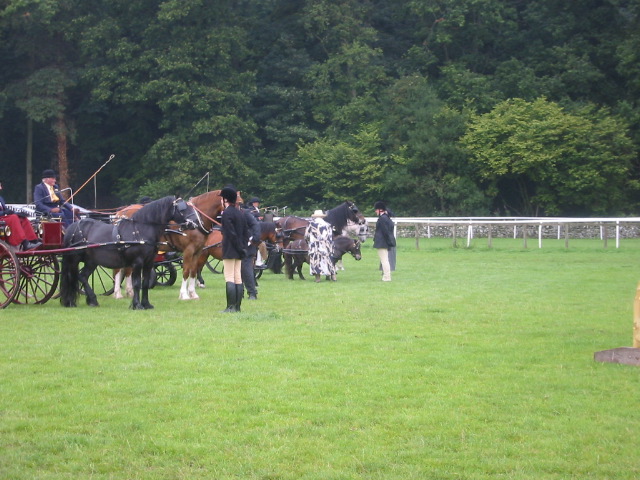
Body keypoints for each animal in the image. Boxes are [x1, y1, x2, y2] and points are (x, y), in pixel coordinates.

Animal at [60, 197, 200, 310]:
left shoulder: (148, 263)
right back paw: (71, 301)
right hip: (74, 259)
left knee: (82, 276)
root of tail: (73, 227)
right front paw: (137, 305)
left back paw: (92, 300)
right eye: (183, 209)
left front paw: (146, 304)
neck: (140, 230)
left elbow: (145, 283)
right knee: (71, 276)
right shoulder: (137, 262)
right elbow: (137, 283)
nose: (197, 223)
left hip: (91, 261)